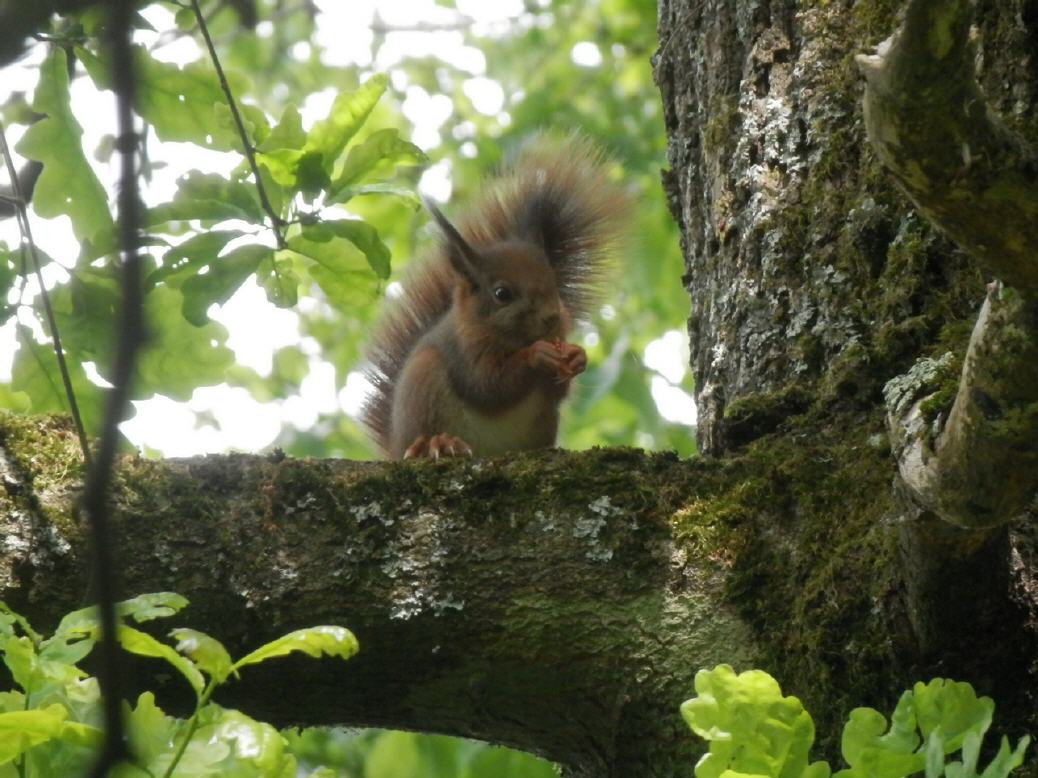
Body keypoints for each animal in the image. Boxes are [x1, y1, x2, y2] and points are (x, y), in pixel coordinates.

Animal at [361, 136, 626, 460]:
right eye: (502, 294)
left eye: (553, 282)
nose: (551, 317)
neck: (512, 338)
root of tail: (396, 446)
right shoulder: (465, 349)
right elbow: (487, 385)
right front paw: (537, 354)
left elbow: (557, 391)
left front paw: (577, 356)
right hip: (423, 386)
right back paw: (437, 444)